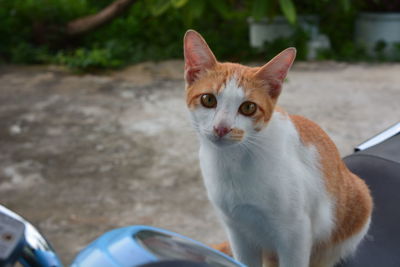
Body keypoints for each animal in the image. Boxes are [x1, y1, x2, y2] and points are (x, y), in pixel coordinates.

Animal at [183, 29, 374, 267]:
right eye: (208, 100)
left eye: (248, 107)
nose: (221, 128)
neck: (233, 161)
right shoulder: (238, 232)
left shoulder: (295, 234)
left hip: (356, 206)